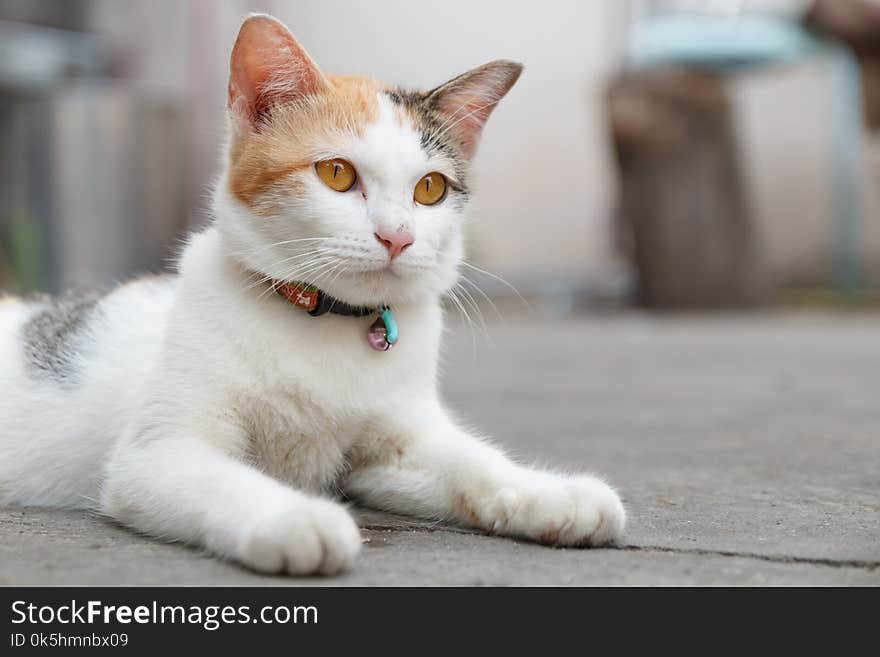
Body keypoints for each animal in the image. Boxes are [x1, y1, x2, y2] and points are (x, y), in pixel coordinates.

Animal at [0, 12, 624, 572]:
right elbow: (225, 480)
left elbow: (473, 461)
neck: (327, 322)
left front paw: (554, 494)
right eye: (337, 174)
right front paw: (295, 519)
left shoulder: (397, 448)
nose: (397, 236)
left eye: (430, 188)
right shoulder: (157, 452)